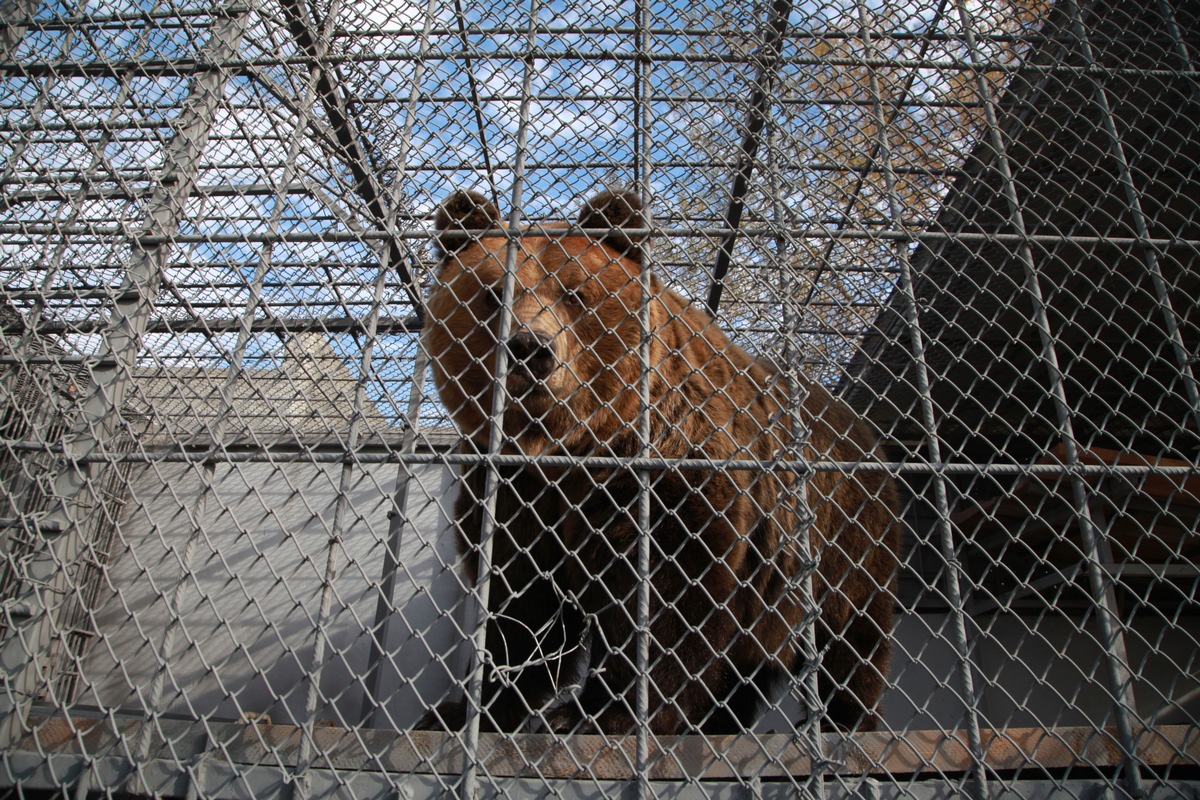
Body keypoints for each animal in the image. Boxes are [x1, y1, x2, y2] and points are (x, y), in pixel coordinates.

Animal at [422, 188, 902, 738]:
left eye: (576, 293)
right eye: (492, 293)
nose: (529, 347)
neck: (570, 448)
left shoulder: (676, 466)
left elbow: (672, 593)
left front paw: (598, 714)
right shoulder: (512, 490)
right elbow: (520, 606)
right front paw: (463, 712)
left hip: (842, 533)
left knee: (852, 637)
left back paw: (849, 721)